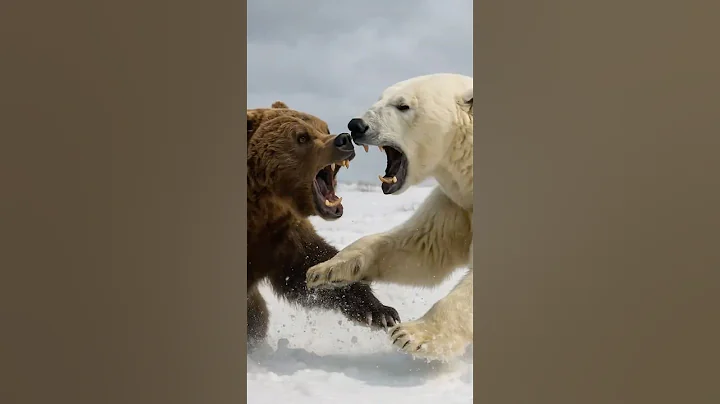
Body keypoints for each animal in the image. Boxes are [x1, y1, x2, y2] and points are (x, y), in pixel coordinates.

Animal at [246, 102, 401, 350]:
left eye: (323, 127)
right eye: (301, 137)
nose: (344, 138)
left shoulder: (282, 233)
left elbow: (310, 263)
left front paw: (380, 312)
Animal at [305, 73, 474, 360]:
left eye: (403, 105)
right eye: (380, 98)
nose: (357, 125)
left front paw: (412, 335)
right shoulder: (457, 203)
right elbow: (423, 246)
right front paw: (326, 271)